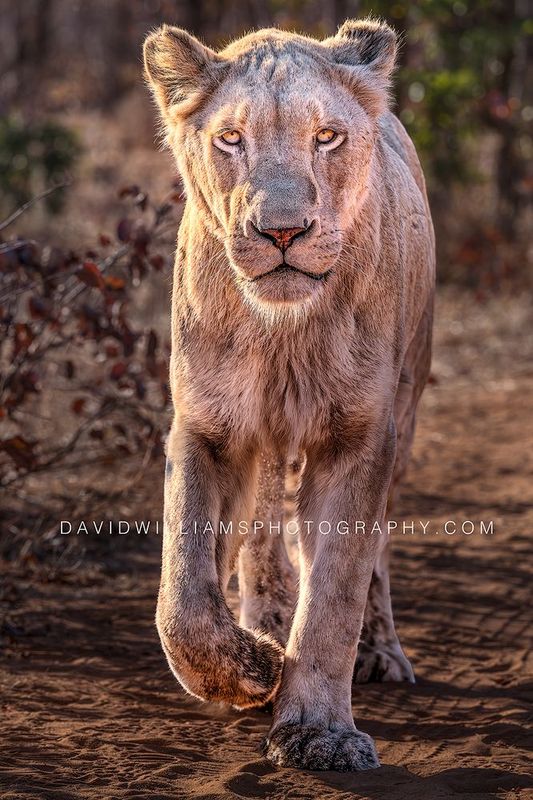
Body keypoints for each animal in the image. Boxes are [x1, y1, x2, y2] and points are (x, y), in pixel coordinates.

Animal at [143, 18, 435, 771]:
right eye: (230, 139)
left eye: (325, 137)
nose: (282, 231)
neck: (283, 334)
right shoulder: (207, 428)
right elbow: (183, 596)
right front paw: (250, 669)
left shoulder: (361, 436)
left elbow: (334, 591)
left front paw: (318, 733)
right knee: (261, 538)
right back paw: (265, 627)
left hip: (407, 400)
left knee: (370, 553)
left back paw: (379, 652)